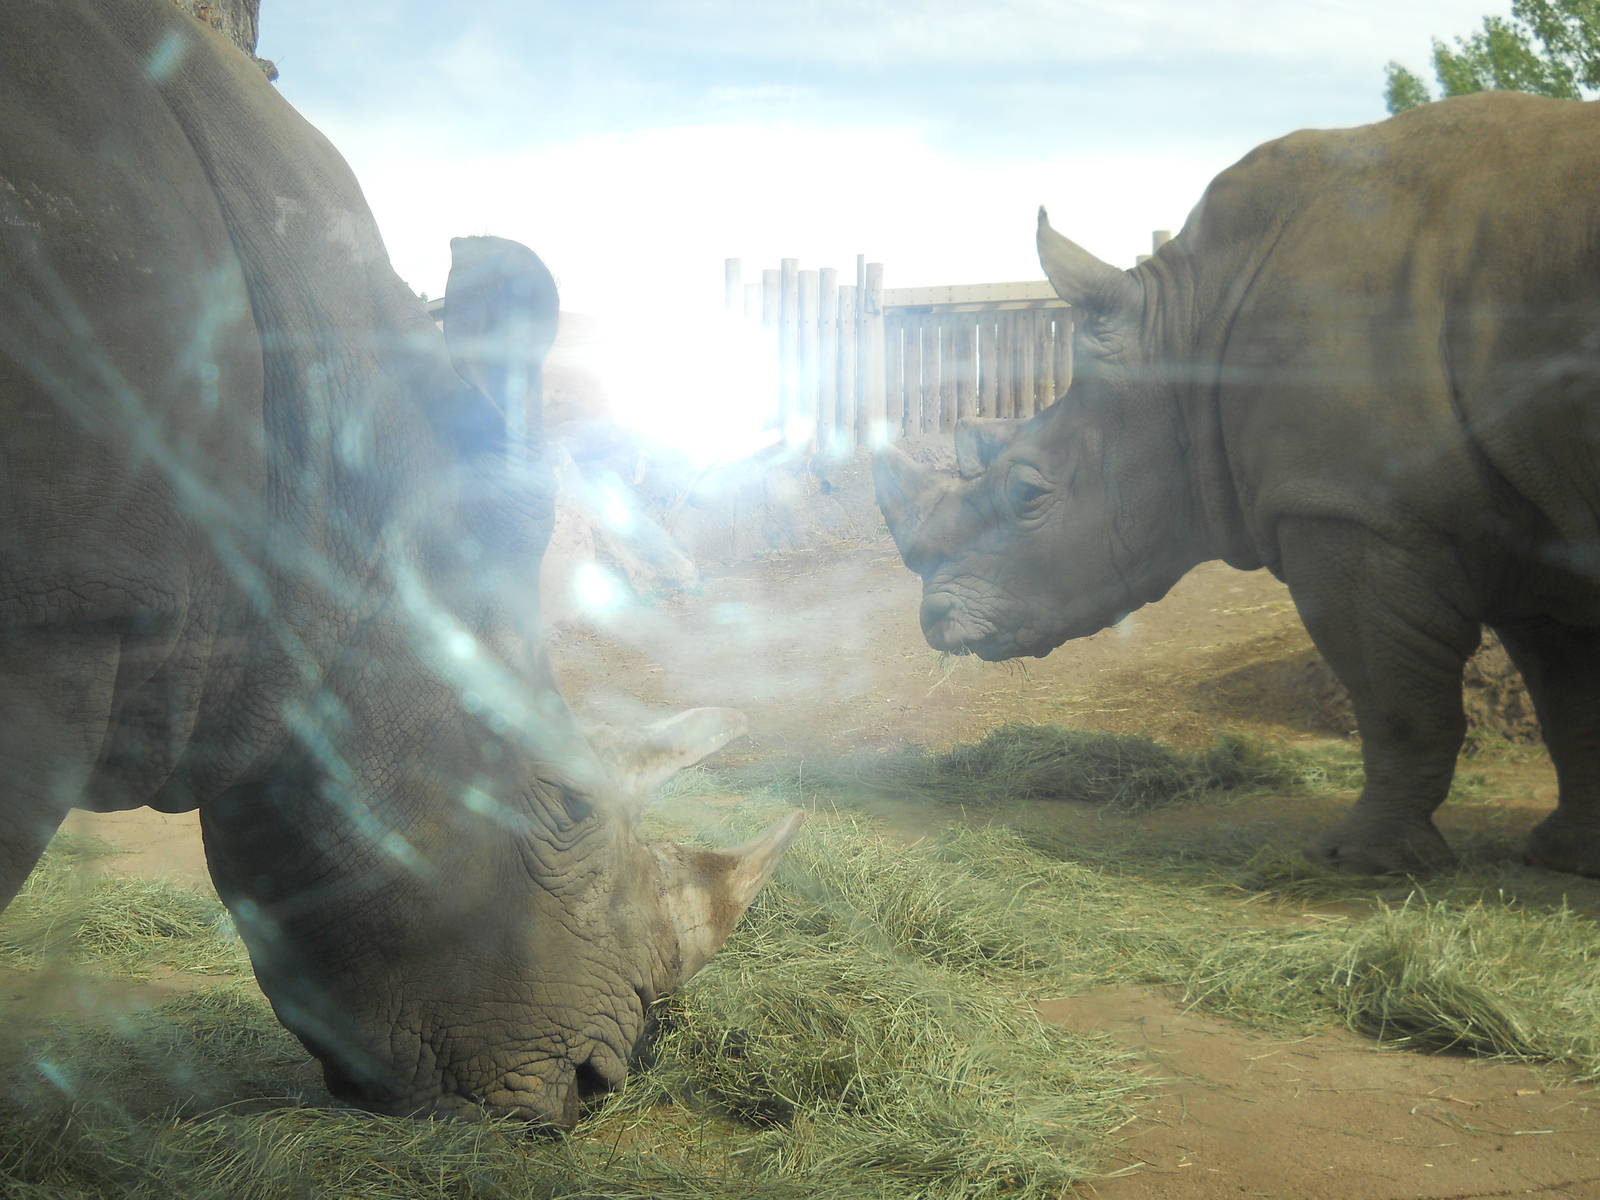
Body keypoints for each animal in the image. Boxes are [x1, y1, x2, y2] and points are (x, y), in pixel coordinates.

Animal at [876, 92, 1600, 878]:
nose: (934, 621)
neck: (1187, 329)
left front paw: (1362, 859)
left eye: (1028, 495)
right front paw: (1569, 855)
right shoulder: (1534, 520)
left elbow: (1395, 698)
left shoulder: (1350, 508)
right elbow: (1568, 697)